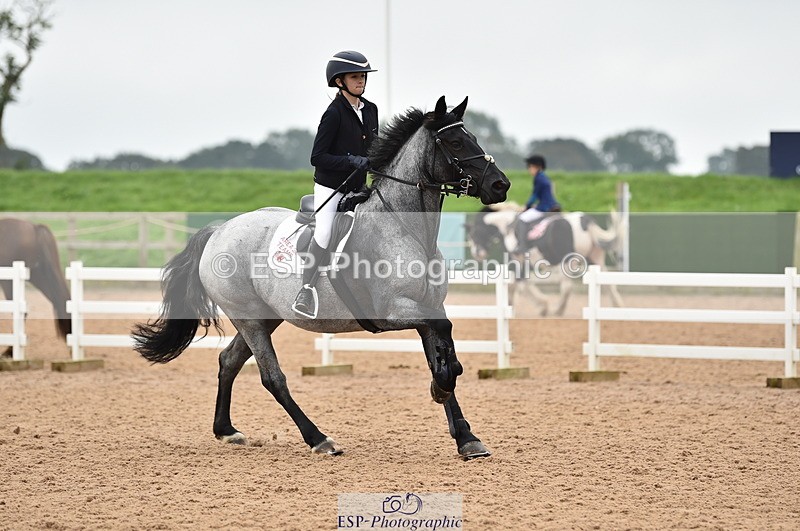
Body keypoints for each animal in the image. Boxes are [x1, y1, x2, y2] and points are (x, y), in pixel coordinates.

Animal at [132, 96, 511, 459]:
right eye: (455, 142)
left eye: (473, 137)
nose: (500, 185)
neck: (407, 228)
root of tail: (219, 230)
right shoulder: (394, 311)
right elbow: (444, 340)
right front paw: (443, 387)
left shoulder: (426, 308)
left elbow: (440, 353)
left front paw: (466, 436)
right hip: (249, 317)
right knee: (272, 377)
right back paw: (319, 439)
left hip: (265, 317)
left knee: (229, 361)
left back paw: (227, 430)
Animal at [466, 204, 624, 316]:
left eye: (474, 233)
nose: (476, 253)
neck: (508, 226)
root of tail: (585, 221)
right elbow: (520, 285)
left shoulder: (516, 262)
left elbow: (521, 286)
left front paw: (541, 306)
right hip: (595, 260)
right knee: (608, 283)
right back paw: (617, 306)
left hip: (565, 262)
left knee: (567, 287)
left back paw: (558, 310)